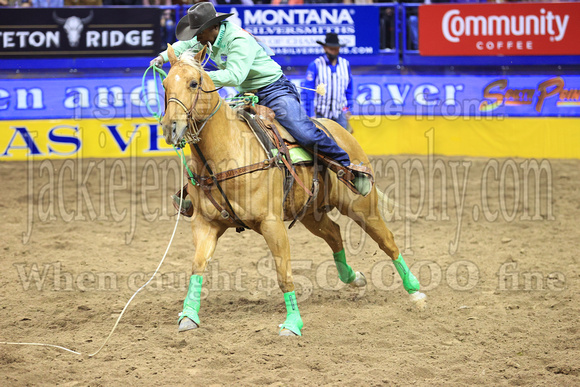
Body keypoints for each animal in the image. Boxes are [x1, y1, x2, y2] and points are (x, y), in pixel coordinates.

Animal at [161, 44, 424, 336]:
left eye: (193, 83)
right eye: (164, 85)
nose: (170, 127)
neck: (226, 153)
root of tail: (337, 128)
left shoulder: (271, 223)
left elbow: (284, 275)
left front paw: (292, 324)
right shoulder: (205, 224)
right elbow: (197, 265)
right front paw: (188, 316)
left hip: (362, 208)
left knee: (387, 241)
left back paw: (415, 290)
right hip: (311, 213)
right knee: (334, 234)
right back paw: (353, 278)